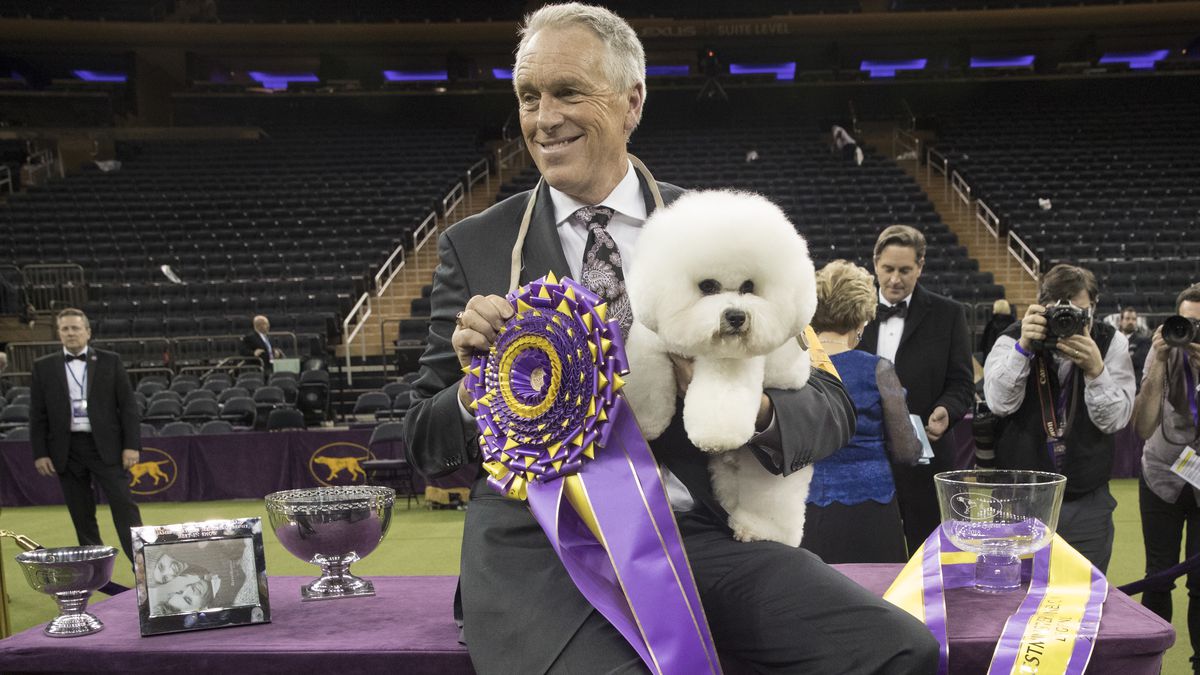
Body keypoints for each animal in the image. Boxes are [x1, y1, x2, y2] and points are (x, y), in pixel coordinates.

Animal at [624, 186, 820, 542]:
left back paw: (756, 528)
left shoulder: (732, 363)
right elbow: (647, 375)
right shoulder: (652, 338)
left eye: (748, 287)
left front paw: (714, 434)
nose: (736, 317)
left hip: (767, 466)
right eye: (708, 286)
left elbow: (721, 397)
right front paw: (646, 422)